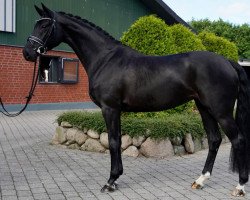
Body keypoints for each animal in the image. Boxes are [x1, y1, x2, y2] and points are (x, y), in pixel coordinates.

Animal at [23, 3, 250, 196]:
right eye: (36, 24)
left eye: (45, 25)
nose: (28, 53)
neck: (105, 59)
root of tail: (228, 62)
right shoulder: (115, 110)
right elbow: (117, 140)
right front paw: (115, 178)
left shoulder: (110, 108)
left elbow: (114, 141)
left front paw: (110, 181)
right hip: (204, 108)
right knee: (214, 140)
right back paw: (200, 180)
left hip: (220, 111)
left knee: (238, 140)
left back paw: (239, 186)